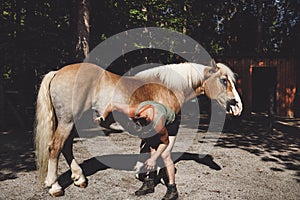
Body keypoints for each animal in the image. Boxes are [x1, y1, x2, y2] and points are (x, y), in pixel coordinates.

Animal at [34, 60, 241, 196]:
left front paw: (143, 174)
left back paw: (79, 178)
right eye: (224, 80)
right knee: (55, 147)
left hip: (73, 123)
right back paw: (55, 186)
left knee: (66, 147)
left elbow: (148, 150)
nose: (237, 106)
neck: (168, 87)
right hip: (67, 122)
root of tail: (57, 72)